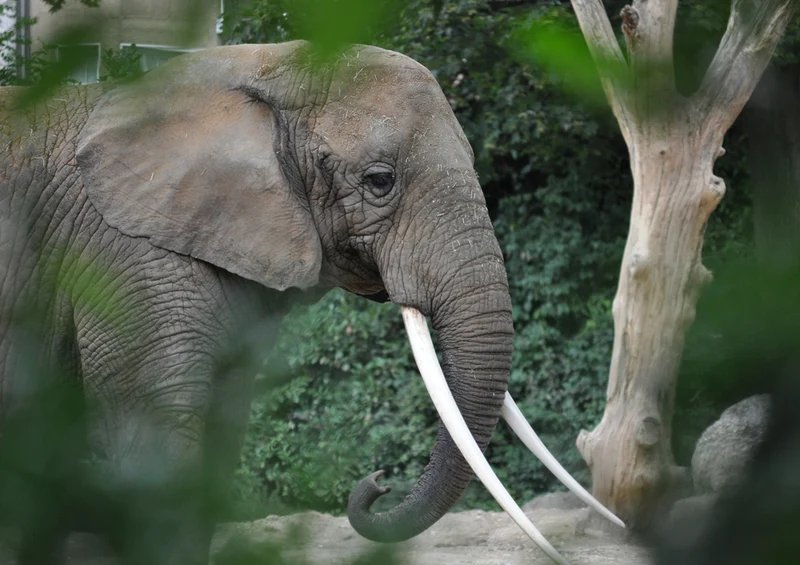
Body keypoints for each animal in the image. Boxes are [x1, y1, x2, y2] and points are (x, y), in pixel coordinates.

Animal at [0, 41, 620, 565]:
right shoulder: (121, 256)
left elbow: (219, 436)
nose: (377, 482)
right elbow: (152, 444)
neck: (261, 67)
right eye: (379, 180)